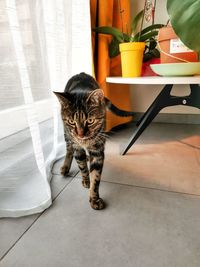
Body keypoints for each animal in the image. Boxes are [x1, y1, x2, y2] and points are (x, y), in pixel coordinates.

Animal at [54, 72, 134, 210]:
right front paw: (86, 180)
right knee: (69, 148)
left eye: (90, 121)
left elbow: (96, 176)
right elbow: (82, 167)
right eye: (71, 121)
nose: (80, 135)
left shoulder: (98, 151)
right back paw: (66, 166)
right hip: (67, 135)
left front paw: (94, 198)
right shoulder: (77, 146)